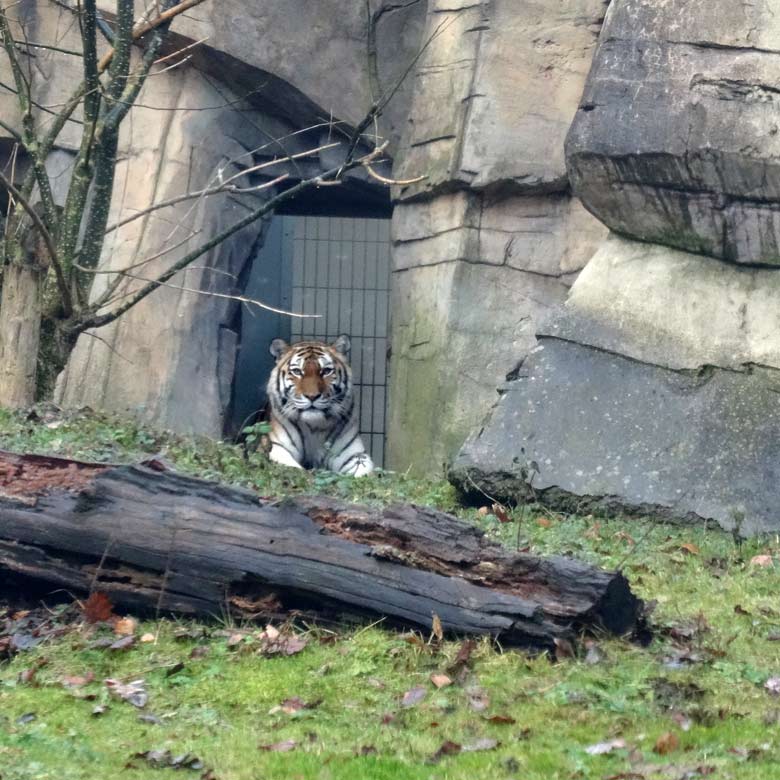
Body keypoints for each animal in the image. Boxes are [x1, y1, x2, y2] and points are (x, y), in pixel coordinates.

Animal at [266, 336, 374, 476]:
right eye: (297, 371)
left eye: (326, 371)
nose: (312, 396)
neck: (314, 427)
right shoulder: (279, 448)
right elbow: (292, 469)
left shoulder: (354, 455)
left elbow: (364, 472)